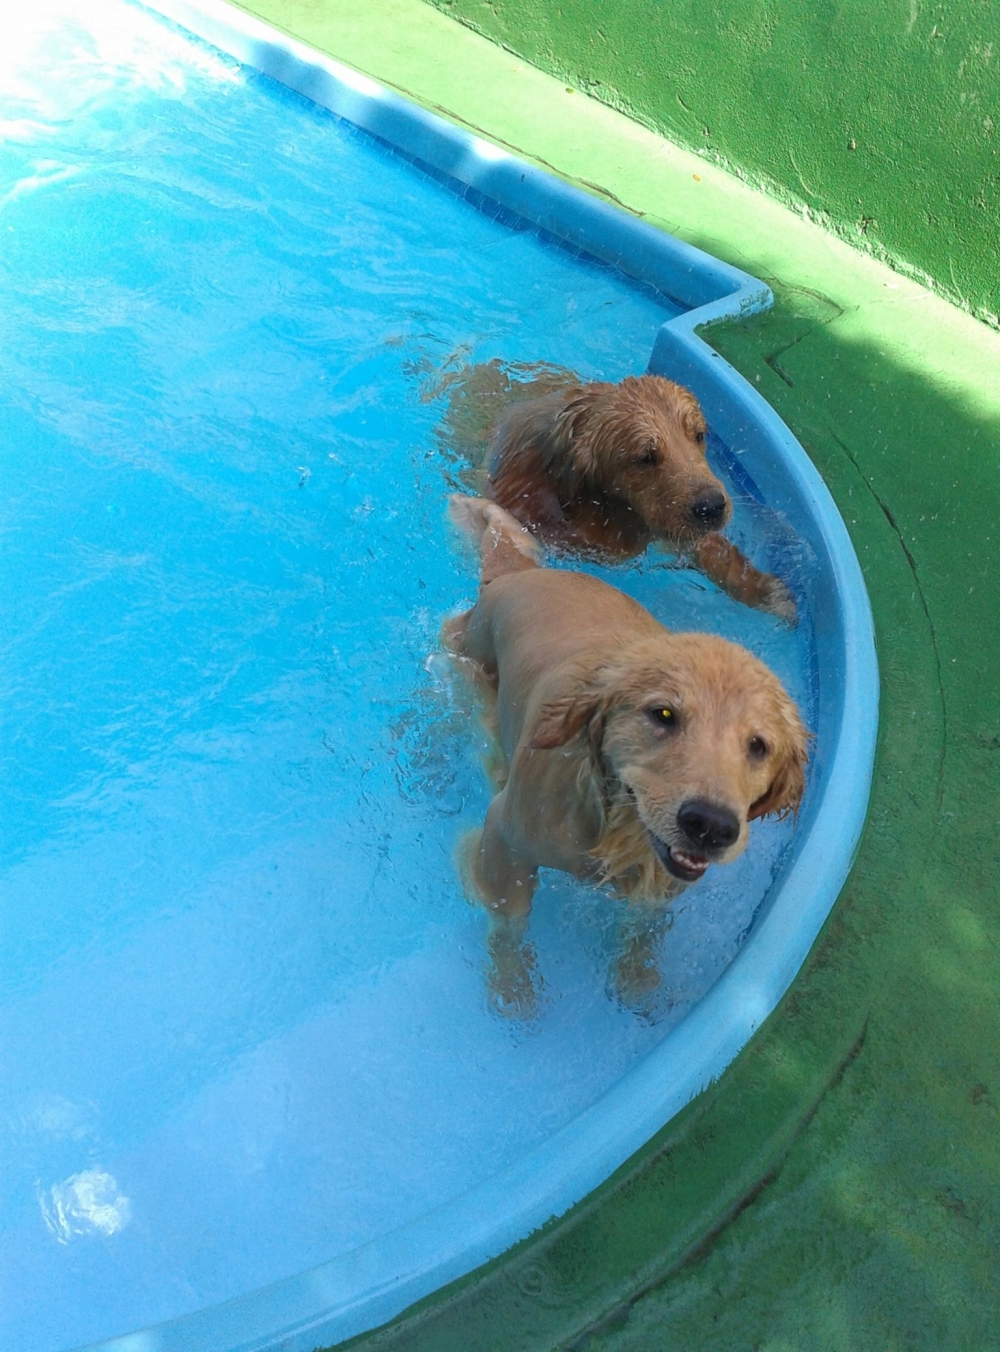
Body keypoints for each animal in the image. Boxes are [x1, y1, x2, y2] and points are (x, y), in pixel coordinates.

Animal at [448, 497, 810, 1016]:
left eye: (758, 745)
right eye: (664, 714)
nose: (711, 826)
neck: (612, 823)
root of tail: (519, 574)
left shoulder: (666, 880)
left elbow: (644, 927)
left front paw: (637, 981)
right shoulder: (504, 836)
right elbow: (508, 921)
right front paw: (512, 985)